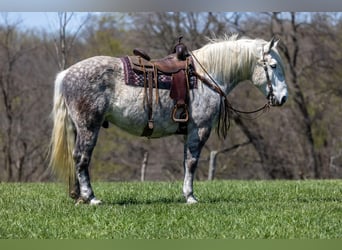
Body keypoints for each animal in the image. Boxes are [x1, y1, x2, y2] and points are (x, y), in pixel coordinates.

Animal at [49, 36, 288, 206]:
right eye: (273, 65)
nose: (283, 98)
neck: (207, 75)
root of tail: (67, 73)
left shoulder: (190, 131)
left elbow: (186, 161)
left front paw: (187, 194)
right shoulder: (199, 129)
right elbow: (191, 163)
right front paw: (190, 197)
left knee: (76, 158)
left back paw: (79, 196)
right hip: (89, 127)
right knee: (81, 158)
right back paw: (91, 197)